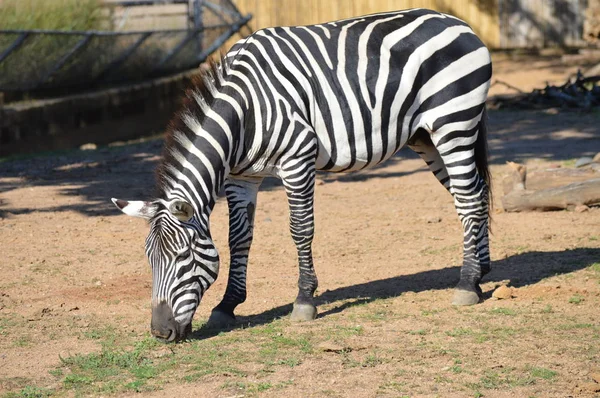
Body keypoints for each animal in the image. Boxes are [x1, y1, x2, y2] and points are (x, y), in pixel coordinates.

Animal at [112, 8, 492, 342]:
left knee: (469, 199)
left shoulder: (298, 159)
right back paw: (481, 271)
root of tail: (457, 21)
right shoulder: (241, 177)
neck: (244, 113)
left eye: (182, 257)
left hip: (453, 123)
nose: (161, 333)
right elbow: (239, 239)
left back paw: (466, 285)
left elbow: (300, 230)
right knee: (473, 194)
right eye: (149, 258)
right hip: (426, 136)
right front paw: (227, 305)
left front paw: (305, 300)